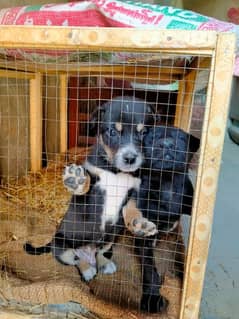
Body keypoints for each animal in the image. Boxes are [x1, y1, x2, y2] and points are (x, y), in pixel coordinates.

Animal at [23, 95, 155, 282]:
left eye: (144, 132)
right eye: (112, 132)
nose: (130, 158)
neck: (116, 171)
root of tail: (88, 252)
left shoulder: (135, 189)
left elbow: (132, 207)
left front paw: (139, 223)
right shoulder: (92, 187)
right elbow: (84, 187)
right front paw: (77, 180)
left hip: (110, 238)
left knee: (100, 252)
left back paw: (103, 263)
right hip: (61, 246)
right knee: (76, 259)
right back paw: (87, 270)